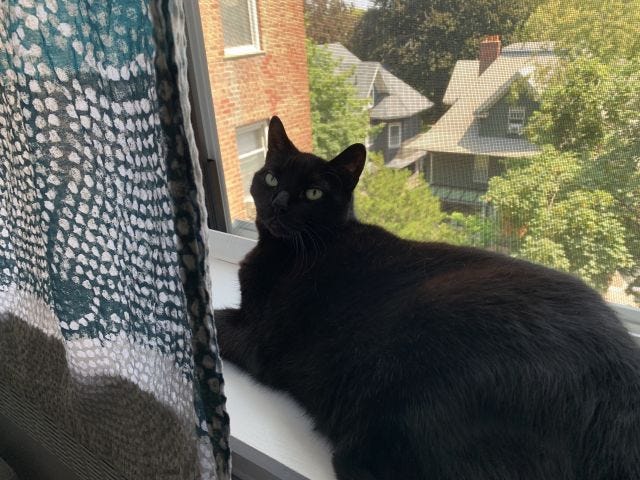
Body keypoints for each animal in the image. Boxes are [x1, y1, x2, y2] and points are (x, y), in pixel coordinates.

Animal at [215, 117, 640, 480]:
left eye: (313, 193)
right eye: (271, 178)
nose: (279, 203)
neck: (289, 250)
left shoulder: (260, 339)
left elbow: (217, 323)